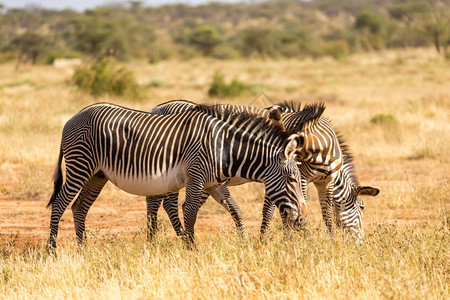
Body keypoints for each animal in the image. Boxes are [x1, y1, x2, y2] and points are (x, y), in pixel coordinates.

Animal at [45, 102, 322, 247]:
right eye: (292, 179)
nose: (304, 218)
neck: (224, 148)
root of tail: (73, 117)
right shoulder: (196, 177)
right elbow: (190, 212)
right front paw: (191, 249)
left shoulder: (214, 184)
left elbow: (235, 209)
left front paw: (244, 242)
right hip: (80, 166)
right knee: (59, 203)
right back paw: (52, 249)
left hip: (97, 175)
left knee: (79, 207)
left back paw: (83, 248)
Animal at [146, 99, 378, 240]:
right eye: (363, 207)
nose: (359, 242)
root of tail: (156, 108)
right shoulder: (297, 177)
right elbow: (279, 209)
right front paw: (289, 239)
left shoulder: (322, 182)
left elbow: (326, 213)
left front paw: (329, 240)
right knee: (163, 203)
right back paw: (163, 237)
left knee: (160, 201)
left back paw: (162, 237)